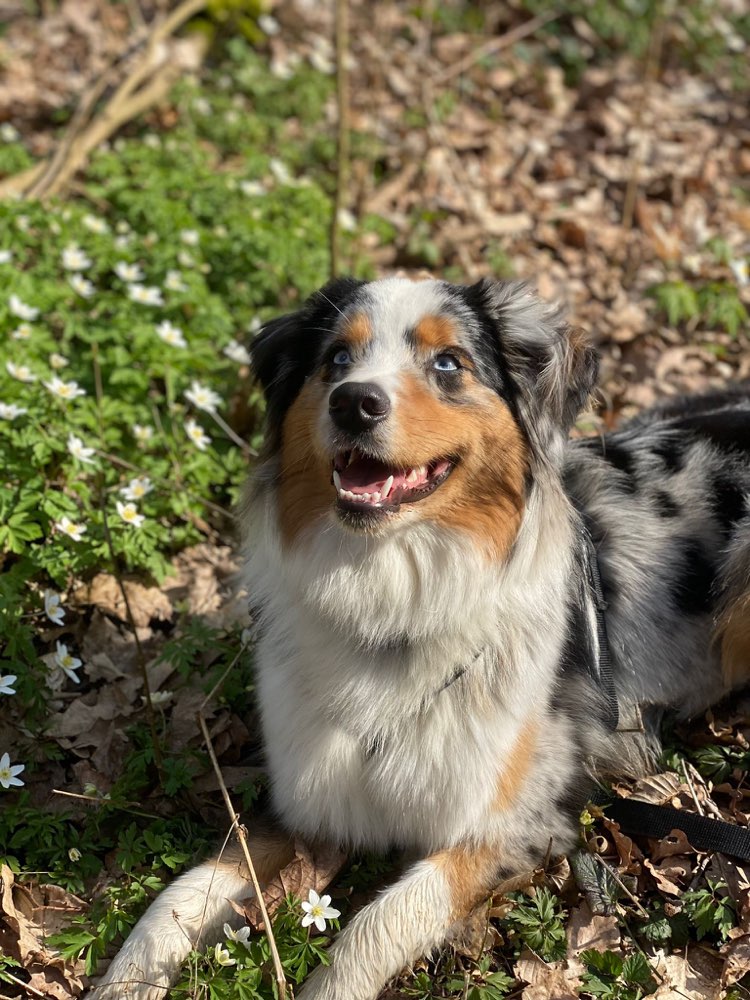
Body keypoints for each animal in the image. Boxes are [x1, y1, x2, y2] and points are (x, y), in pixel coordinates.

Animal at [91, 276, 748, 1000]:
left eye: (448, 363)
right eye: (336, 360)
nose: (354, 402)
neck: (392, 607)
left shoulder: (518, 822)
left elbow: (381, 918)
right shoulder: (303, 803)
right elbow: (182, 894)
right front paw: (124, 981)